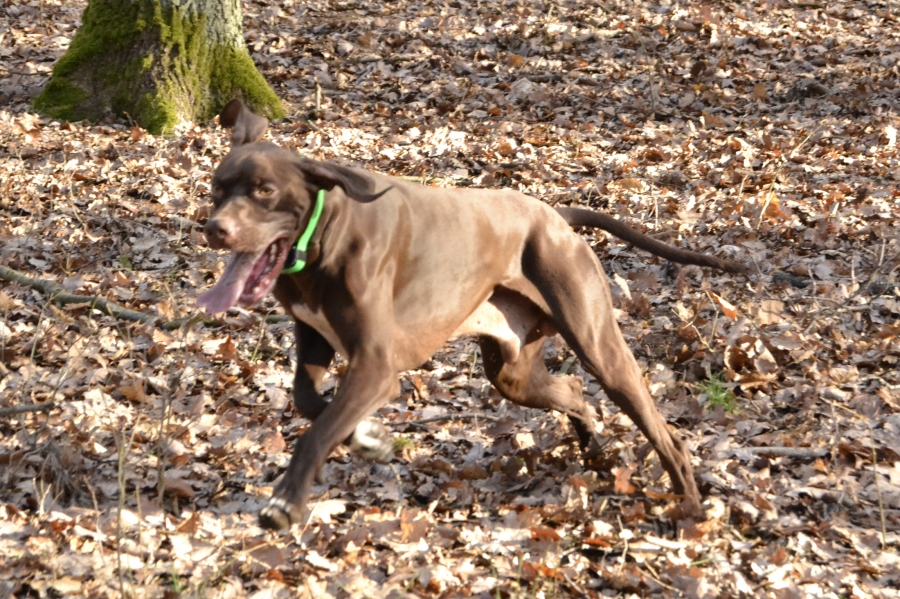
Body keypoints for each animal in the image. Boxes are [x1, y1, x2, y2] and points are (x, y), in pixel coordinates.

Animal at [199, 99, 747, 530]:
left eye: (264, 190)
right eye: (217, 189)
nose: (214, 229)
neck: (323, 232)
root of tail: (554, 215)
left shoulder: (376, 365)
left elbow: (316, 431)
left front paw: (287, 502)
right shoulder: (315, 337)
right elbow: (311, 401)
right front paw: (368, 439)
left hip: (598, 346)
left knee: (663, 432)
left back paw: (690, 508)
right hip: (513, 373)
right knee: (571, 390)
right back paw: (593, 448)